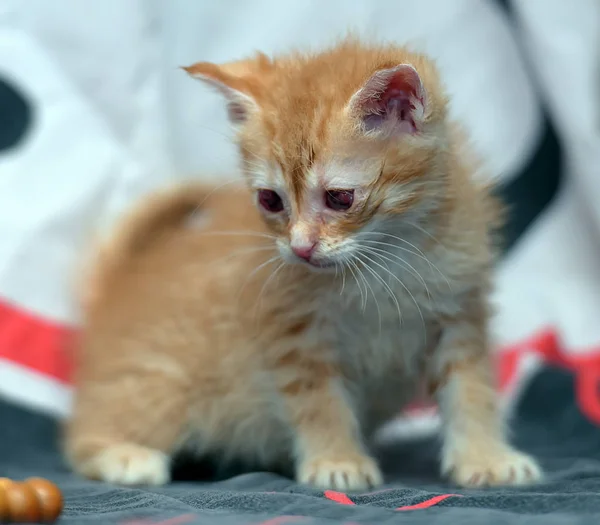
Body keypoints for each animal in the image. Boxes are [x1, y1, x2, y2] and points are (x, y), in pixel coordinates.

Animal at [65, 39, 544, 490]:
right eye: (270, 200)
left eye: (340, 198)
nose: (300, 249)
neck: (385, 260)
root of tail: (117, 287)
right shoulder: (292, 331)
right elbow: (318, 401)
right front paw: (337, 460)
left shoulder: (461, 313)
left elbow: (472, 387)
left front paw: (486, 458)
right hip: (159, 386)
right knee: (84, 436)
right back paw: (123, 455)